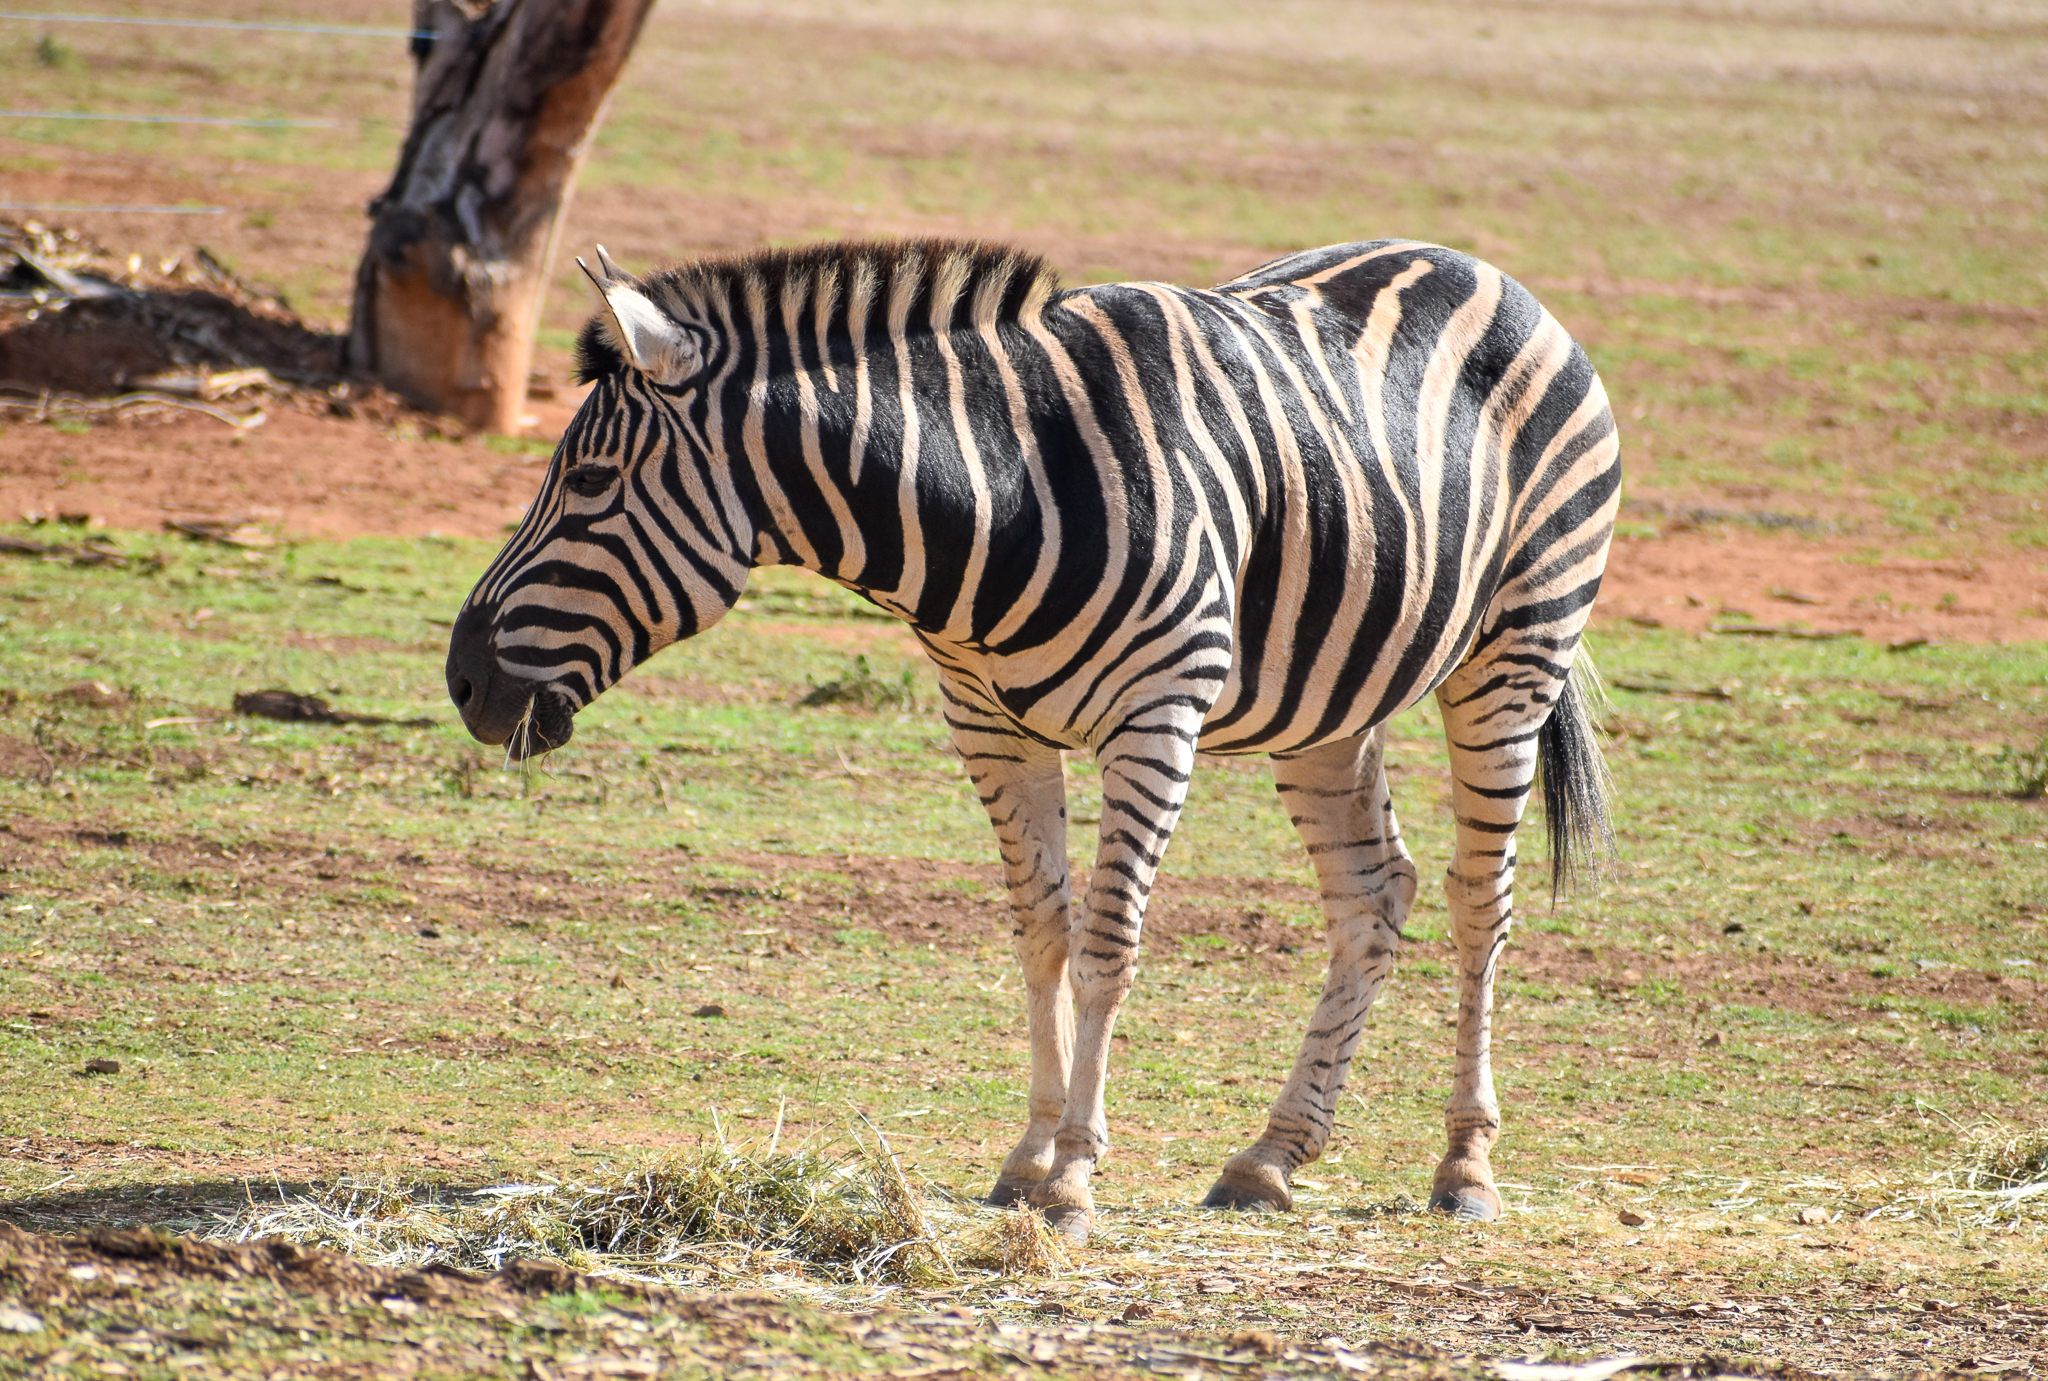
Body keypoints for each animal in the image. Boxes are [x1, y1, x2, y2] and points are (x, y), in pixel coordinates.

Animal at [445, 237, 1619, 1241]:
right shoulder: (987, 721)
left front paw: (1073, 1181)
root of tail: (1486, 270)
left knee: (1478, 902)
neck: (1003, 492)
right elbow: (1041, 931)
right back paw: (1270, 1155)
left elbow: (1105, 942)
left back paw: (1464, 1166)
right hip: (1330, 699)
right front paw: (1026, 1159)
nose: (461, 679)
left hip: (1514, 653)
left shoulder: (1157, 714)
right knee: (1374, 892)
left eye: (588, 484)